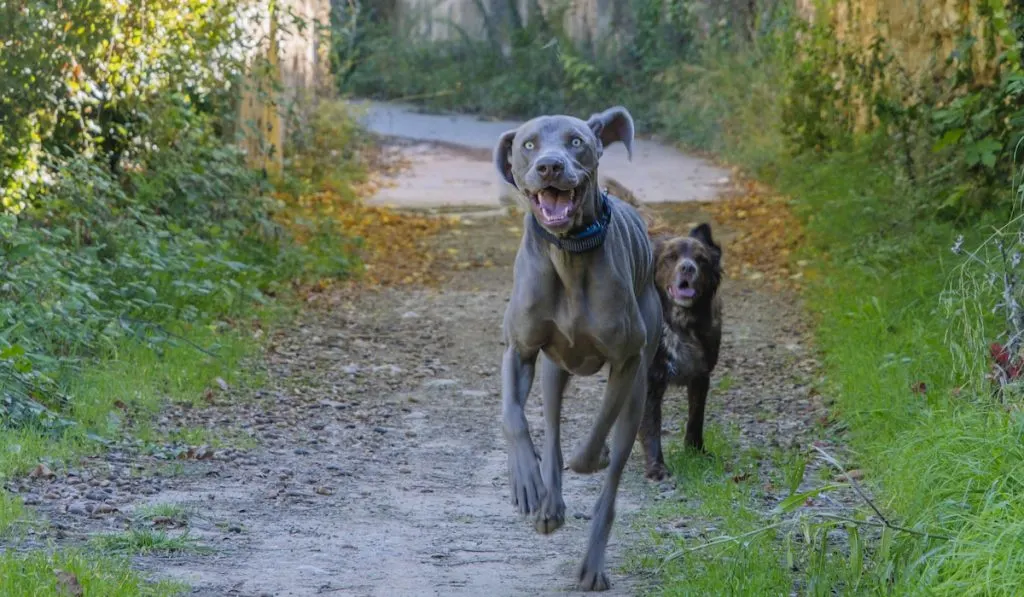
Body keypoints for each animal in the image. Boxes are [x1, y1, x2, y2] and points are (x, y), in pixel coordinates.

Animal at [495, 108, 663, 593]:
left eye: (576, 141)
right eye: (528, 144)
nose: (550, 166)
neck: (569, 254)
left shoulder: (627, 361)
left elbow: (601, 421)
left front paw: (590, 457)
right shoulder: (519, 351)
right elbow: (513, 417)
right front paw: (525, 482)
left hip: (640, 381)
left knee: (611, 478)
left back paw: (591, 566)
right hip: (553, 371)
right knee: (549, 431)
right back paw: (547, 502)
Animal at [638, 224, 720, 481]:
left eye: (701, 259)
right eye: (671, 258)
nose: (687, 267)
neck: (680, 325)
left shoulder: (701, 376)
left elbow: (696, 418)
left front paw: (696, 452)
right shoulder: (650, 381)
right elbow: (651, 427)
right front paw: (656, 467)